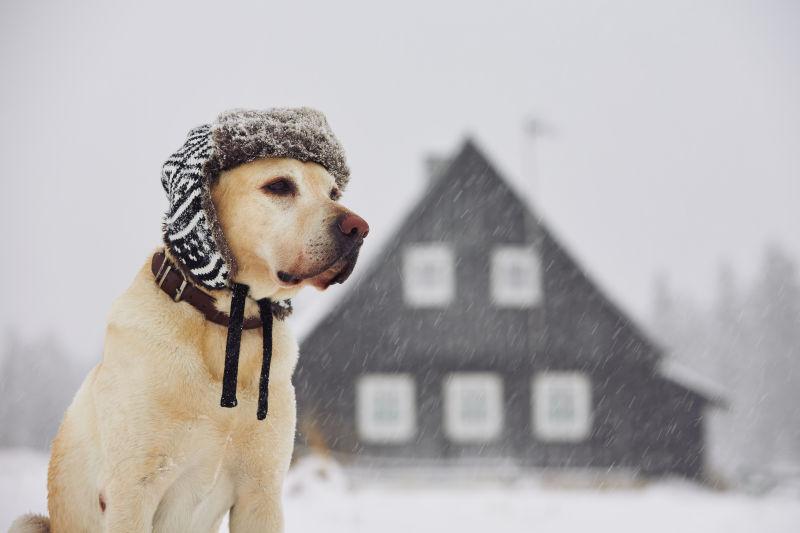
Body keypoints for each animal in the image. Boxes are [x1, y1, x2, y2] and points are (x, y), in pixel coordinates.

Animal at [12, 143, 368, 528]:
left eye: (333, 193)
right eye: (279, 186)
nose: (359, 228)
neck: (227, 322)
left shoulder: (261, 494)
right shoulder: (131, 492)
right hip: (30, 521)